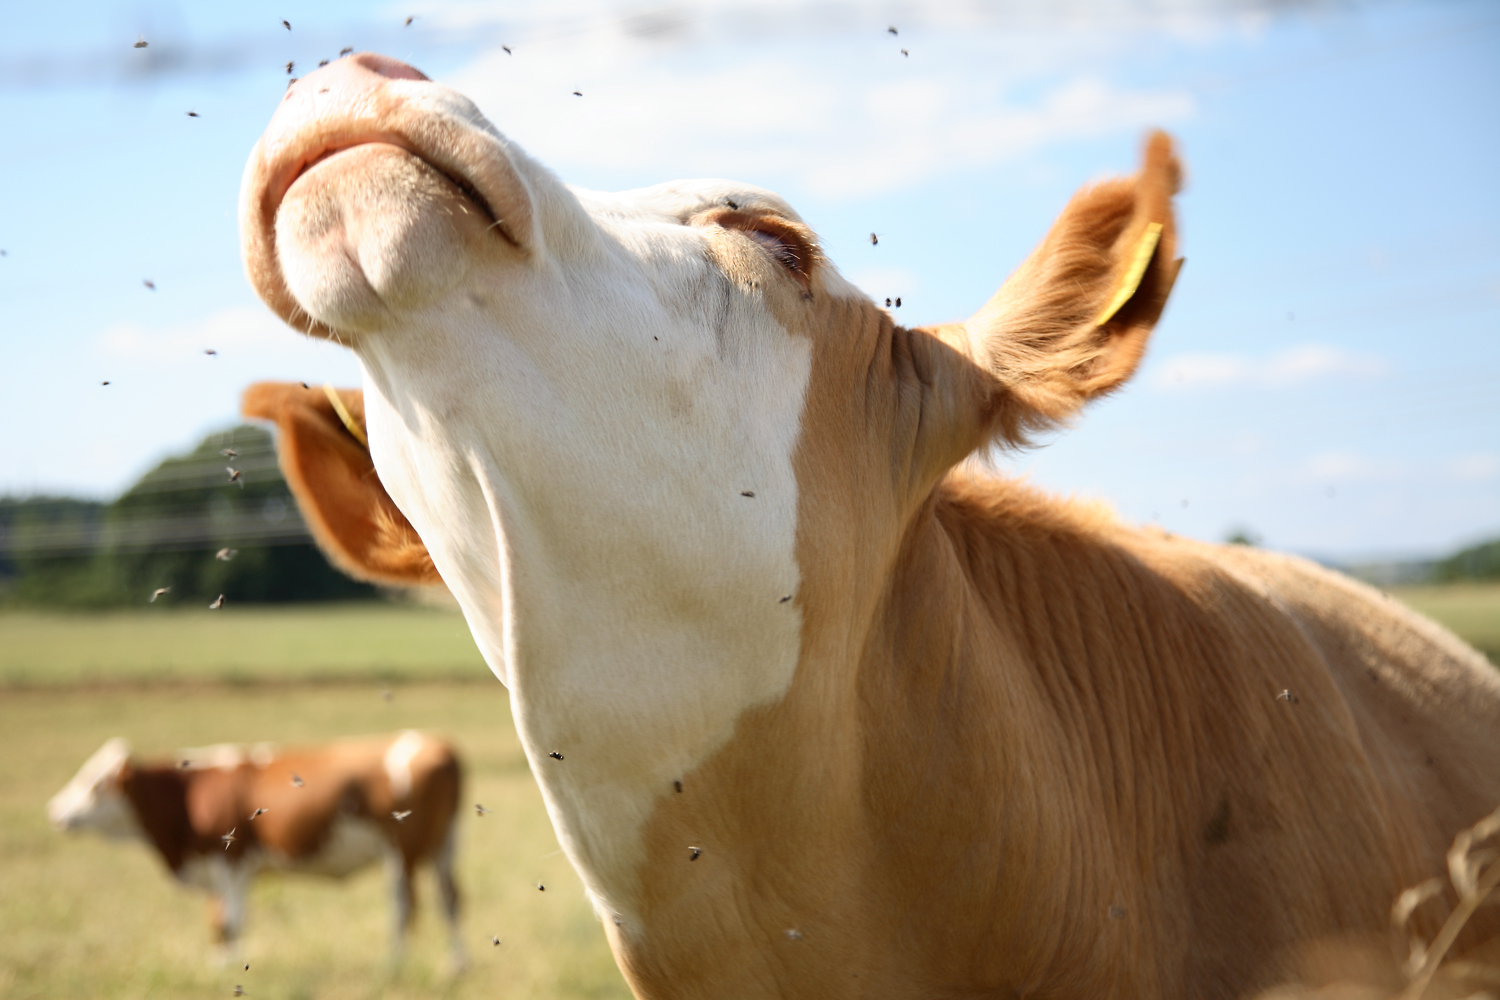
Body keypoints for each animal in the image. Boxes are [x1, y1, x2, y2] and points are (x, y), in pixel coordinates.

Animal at [49, 731, 462, 965]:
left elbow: (231, 922)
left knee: (404, 908)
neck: (189, 794)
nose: (54, 810)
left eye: (96, 784)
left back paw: (394, 966)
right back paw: (457, 967)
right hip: (444, 846)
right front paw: (218, 967)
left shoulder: (231, 862)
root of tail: (440, 747)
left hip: (401, 853)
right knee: (450, 900)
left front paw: (230, 968)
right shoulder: (213, 868)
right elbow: (218, 922)